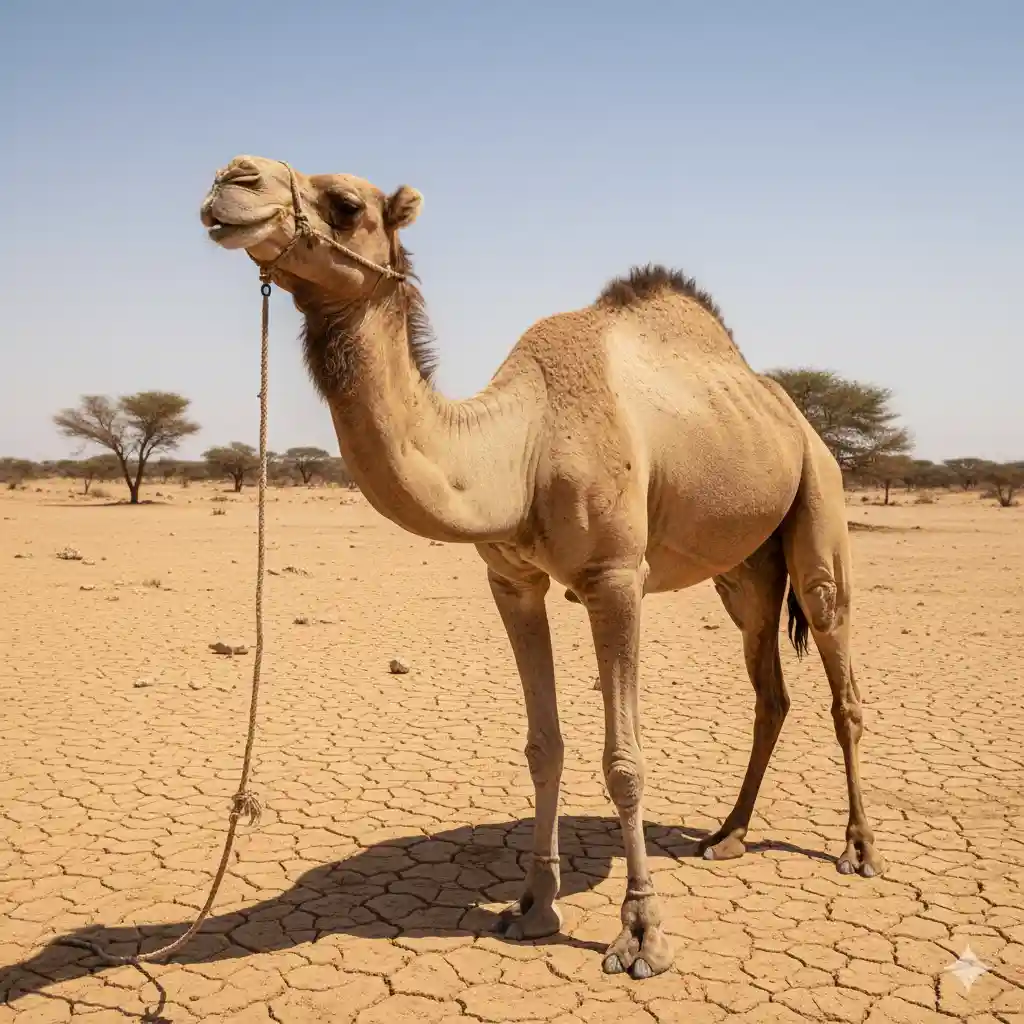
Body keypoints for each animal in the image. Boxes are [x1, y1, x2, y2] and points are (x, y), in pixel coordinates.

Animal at [199, 156, 883, 980]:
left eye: (347, 203)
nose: (234, 178)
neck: (519, 448)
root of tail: (791, 410)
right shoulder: (511, 580)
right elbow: (541, 745)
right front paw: (532, 907)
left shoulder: (615, 577)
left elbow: (624, 760)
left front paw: (641, 934)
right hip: (744, 569)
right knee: (769, 688)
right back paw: (727, 835)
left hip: (819, 500)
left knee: (839, 672)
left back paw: (859, 850)